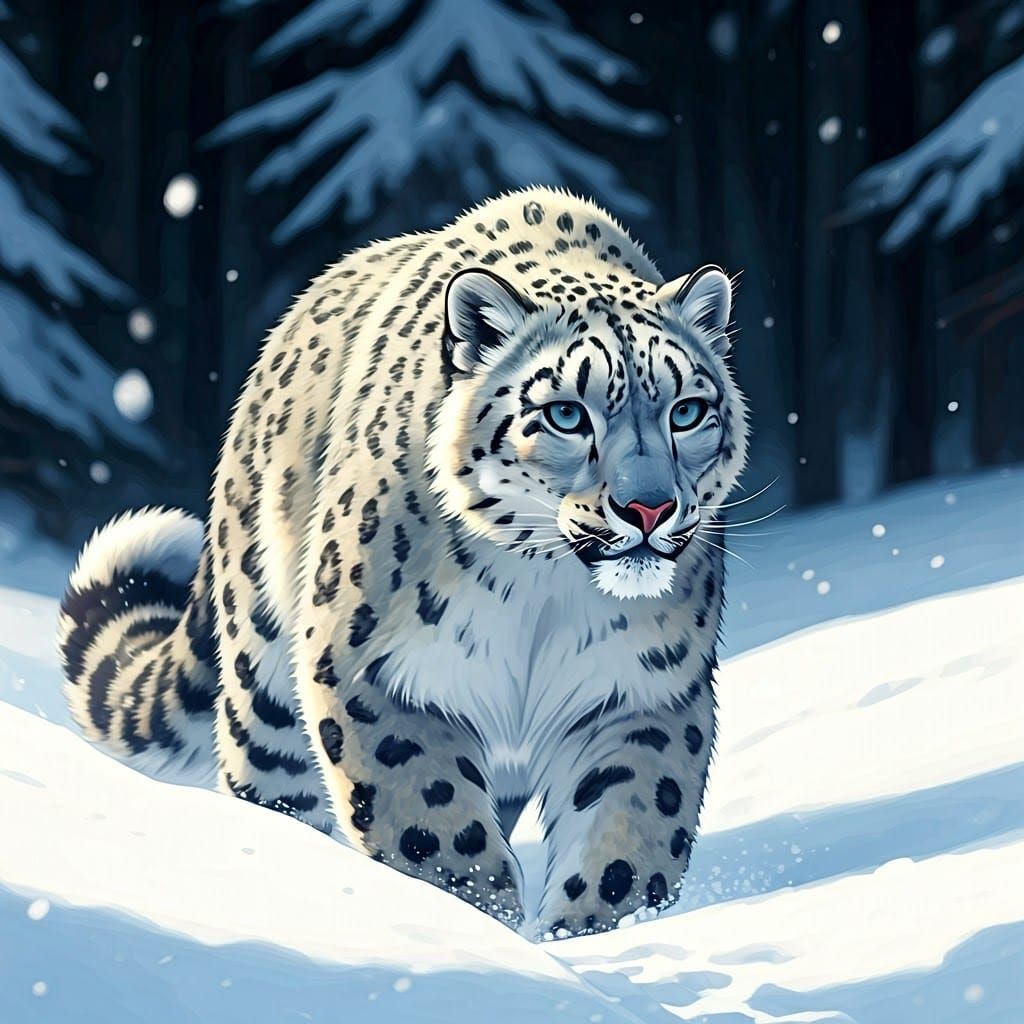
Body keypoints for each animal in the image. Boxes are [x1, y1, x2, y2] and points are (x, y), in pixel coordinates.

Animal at [58, 187, 749, 938]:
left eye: (687, 412)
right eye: (566, 414)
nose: (649, 508)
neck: (546, 591)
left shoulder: (645, 690)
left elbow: (632, 827)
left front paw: (591, 932)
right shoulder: (369, 671)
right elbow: (431, 821)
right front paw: (480, 922)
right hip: (263, 691)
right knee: (272, 786)